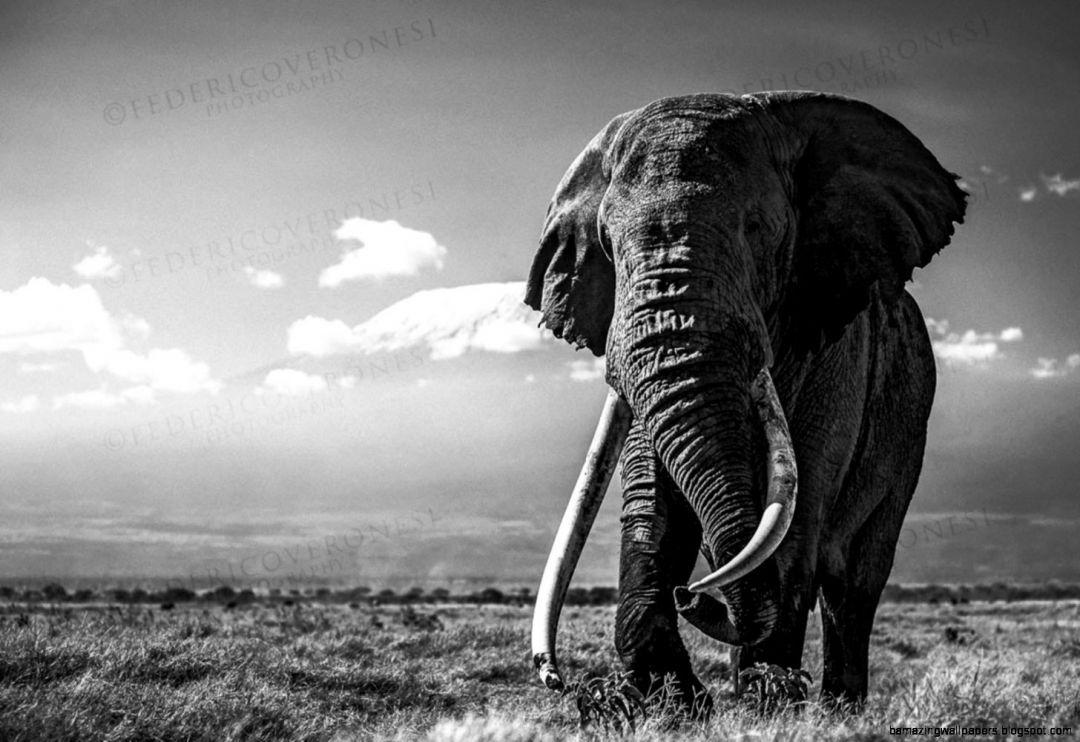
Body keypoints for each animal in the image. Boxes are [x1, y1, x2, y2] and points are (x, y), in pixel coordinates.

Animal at [524, 91, 965, 710]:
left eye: (758, 230)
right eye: (608, 244)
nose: (690, 594)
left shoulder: (838, 349)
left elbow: (799, 510)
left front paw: (771, 701)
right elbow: (653, 498)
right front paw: (665, 702)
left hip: (909, 426)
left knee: (853, 582)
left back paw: (834, 707)